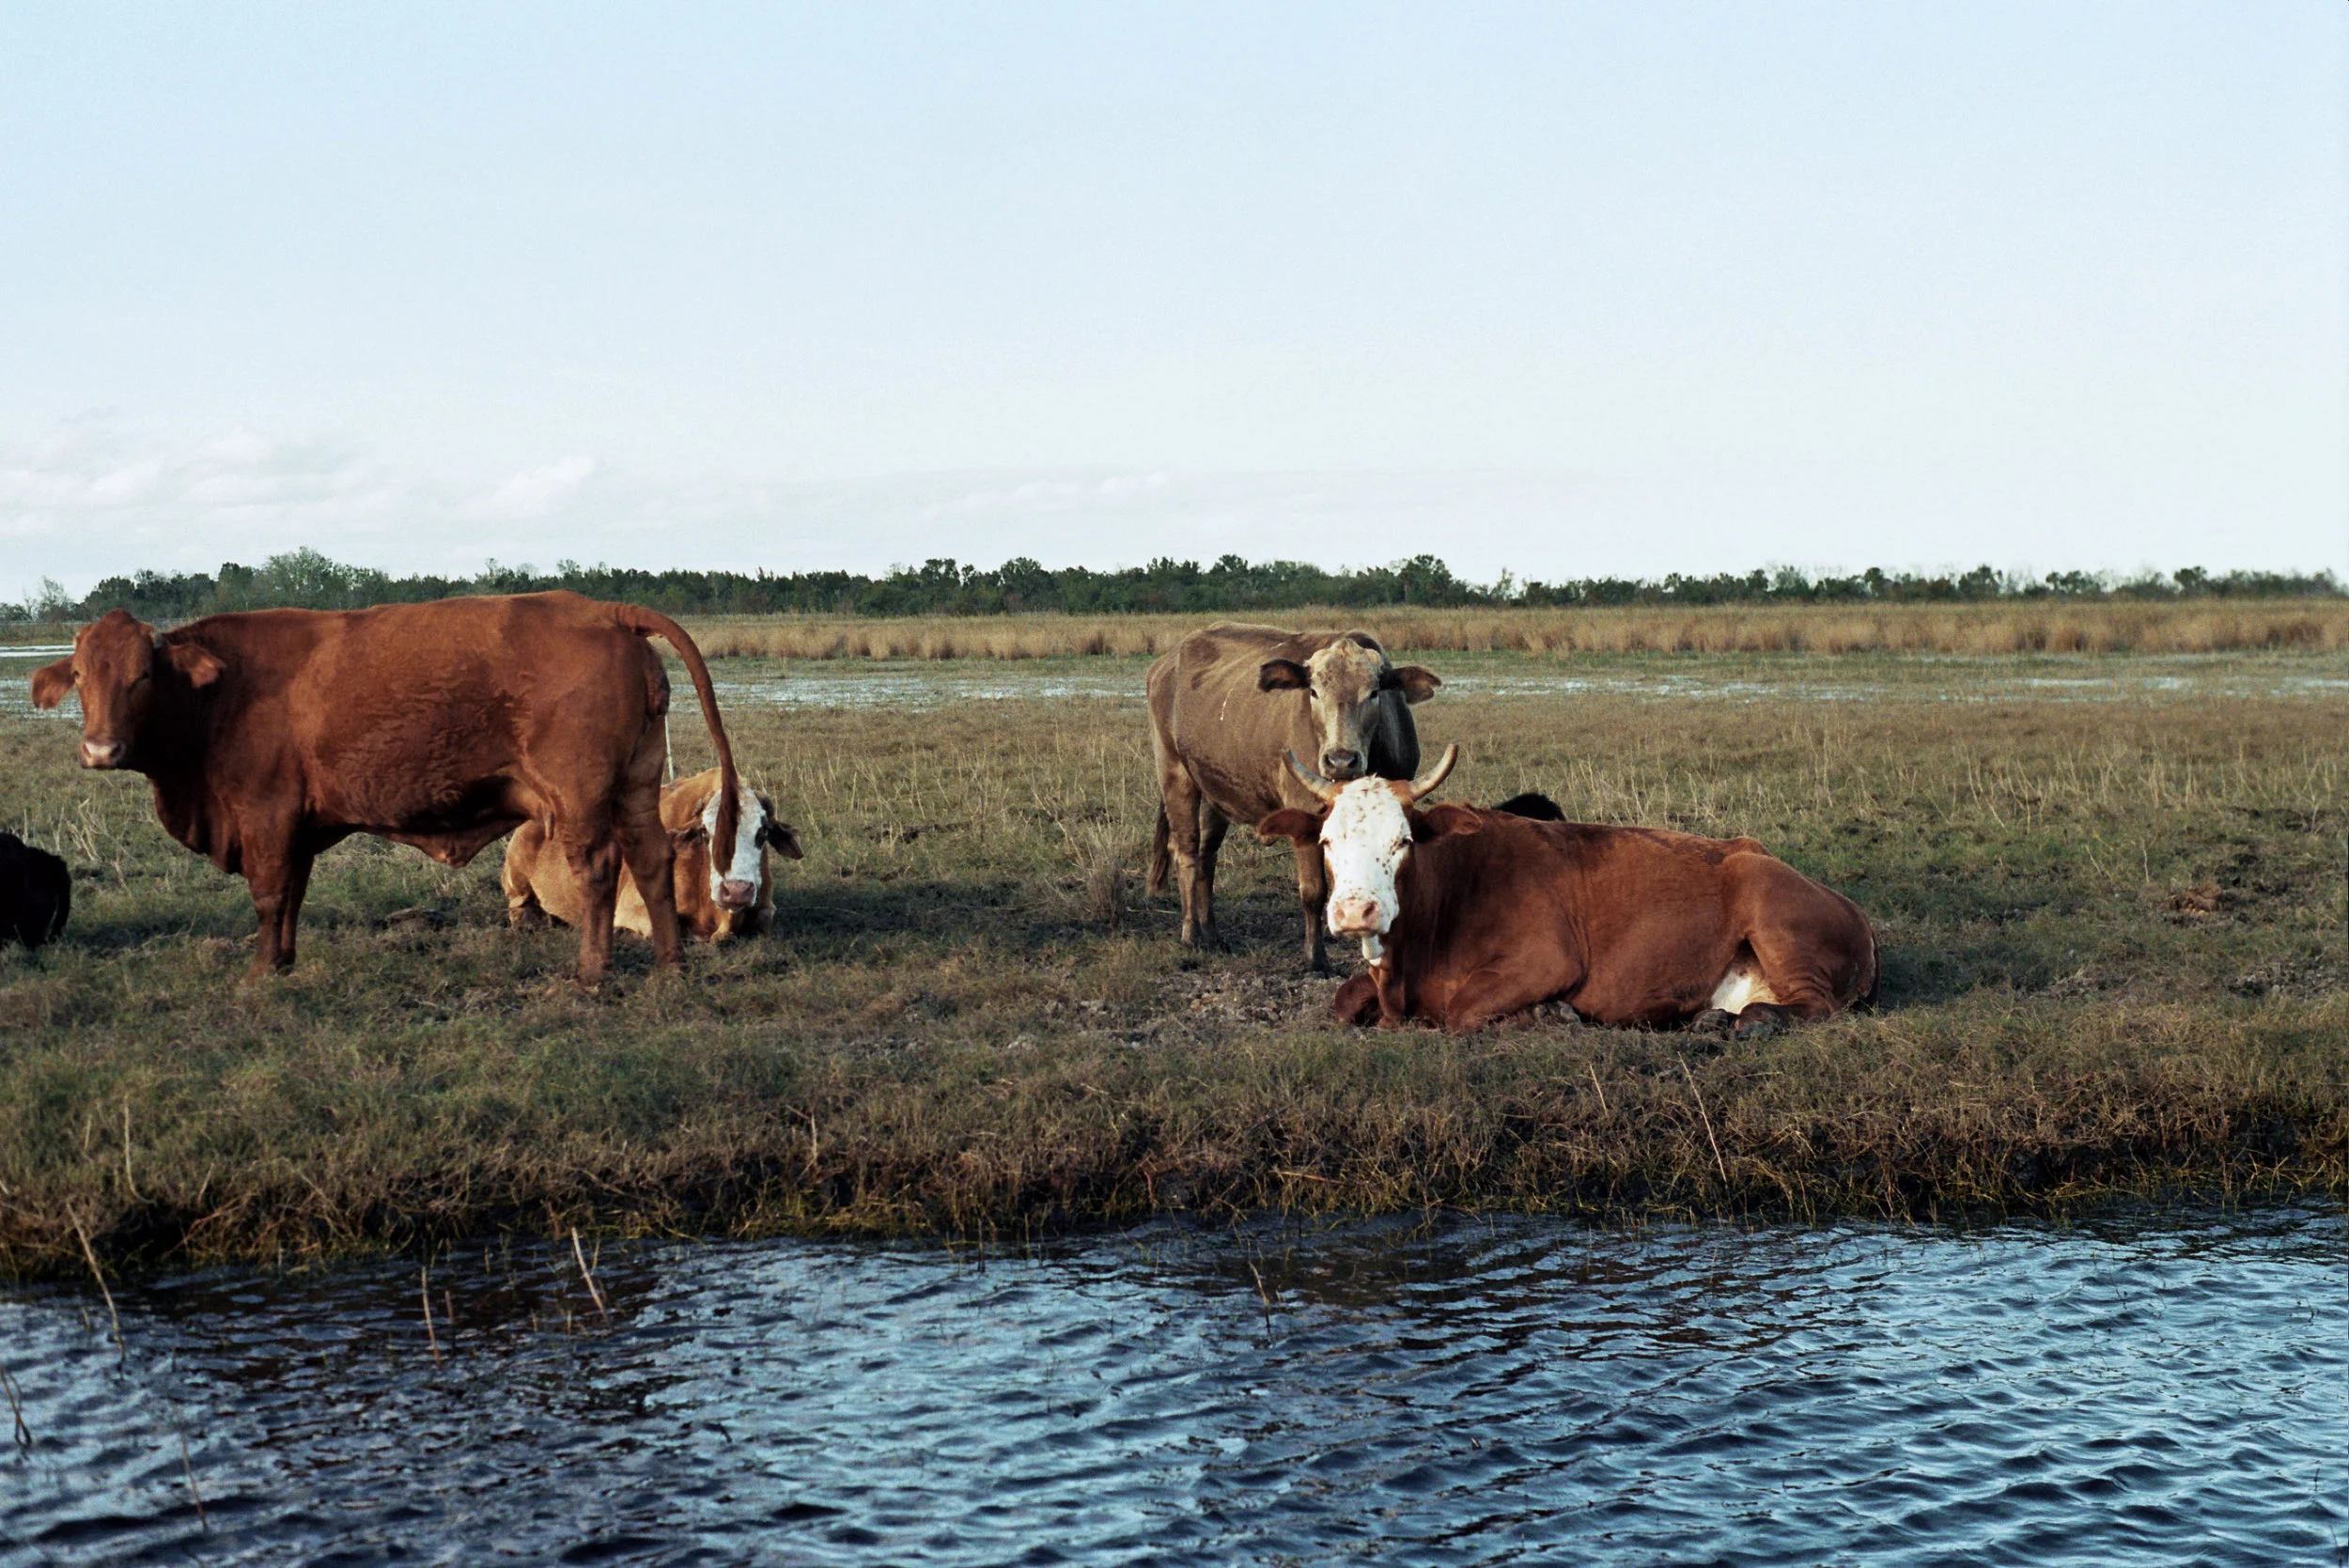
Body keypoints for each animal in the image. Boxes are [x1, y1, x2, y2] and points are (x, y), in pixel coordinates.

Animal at [28, 593, 747, 985]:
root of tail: (601, 609)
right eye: (83, 676)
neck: (221, 693)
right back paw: (670, 964)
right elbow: (291, 898)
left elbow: (268, 896)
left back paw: (592, 973)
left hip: (580, 797)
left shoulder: (265, 815)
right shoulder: (298, 828)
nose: (100, 749)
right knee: (651, 861)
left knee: (599, 869)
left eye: (144, 675)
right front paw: (283, 961)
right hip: (635, 785)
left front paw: (259, 973)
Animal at [503, 766, 801, 943]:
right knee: (518, 907)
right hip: (516, 882)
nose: (736, 890)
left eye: (762, 831)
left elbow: (763, 920)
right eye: (706, 832)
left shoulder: (765, 908)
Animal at [1146, 622, 1440, 970]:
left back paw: (1212, 934)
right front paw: (1315, 958)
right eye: (1313, 691)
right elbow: (1314, 892)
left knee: (1207, 856)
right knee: (1186, 851)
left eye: (1373, 692)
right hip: (1174, 772)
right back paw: (1191, 935)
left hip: (1213, 790)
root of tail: (1166, 663)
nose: (1341, 760)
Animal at [1257, 751, 1878, 1035]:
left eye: (1402, 840)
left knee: (1814, 1005)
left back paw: (1753, 1021)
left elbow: (1460, 1011)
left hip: (1770, 907)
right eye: (1327, 840)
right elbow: (1341, 1002)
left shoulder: (1547, 960)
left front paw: (1545, 1013)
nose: (1355, 910)